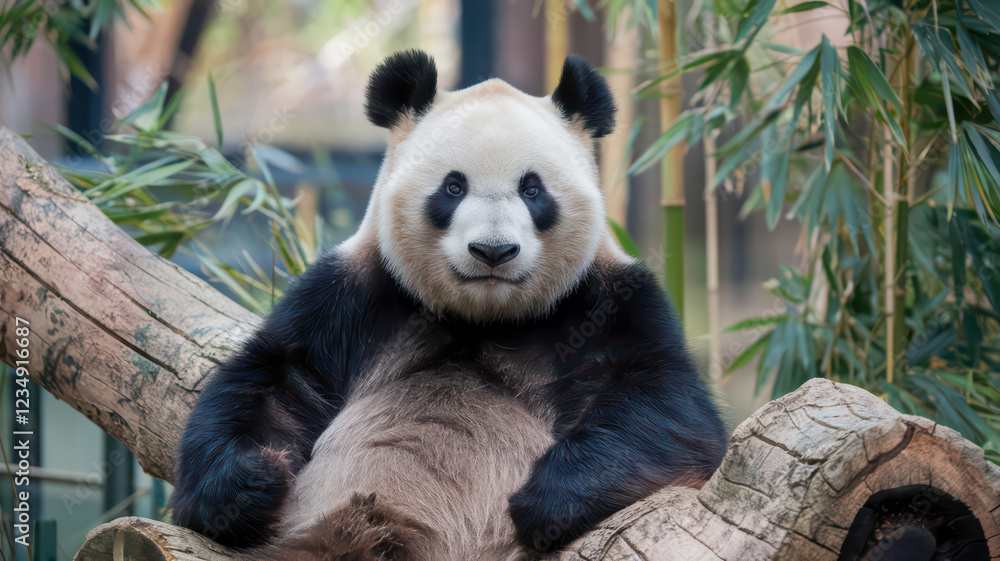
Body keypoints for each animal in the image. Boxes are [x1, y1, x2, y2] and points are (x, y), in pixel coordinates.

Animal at [172, 50, 728, 561]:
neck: (482, 316)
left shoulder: (608, 301)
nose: (493, 251)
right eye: (453, 186)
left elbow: (668, 409)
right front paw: (248, 483)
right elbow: (278, 379)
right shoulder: (351, 294)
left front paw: (550, 500)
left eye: (532, 189)